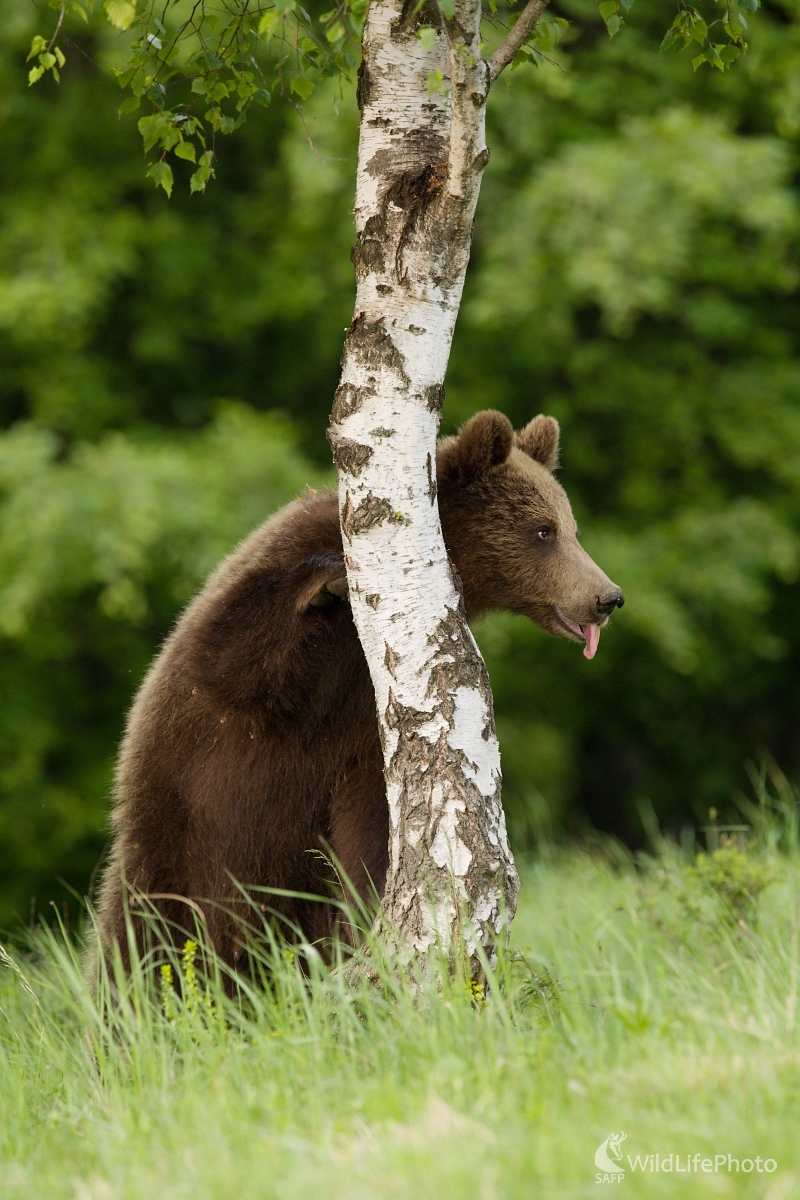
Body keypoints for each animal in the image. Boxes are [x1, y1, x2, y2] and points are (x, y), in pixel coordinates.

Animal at [95, 408, 623, 969]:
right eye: (543, 530)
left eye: (571, 528)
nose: (607, 597)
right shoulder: (270, 642)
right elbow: (236, 649)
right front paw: (327, 581)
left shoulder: (361, 728)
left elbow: (371, 830)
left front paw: (371, 908)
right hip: (178, 823)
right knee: (142, 933)